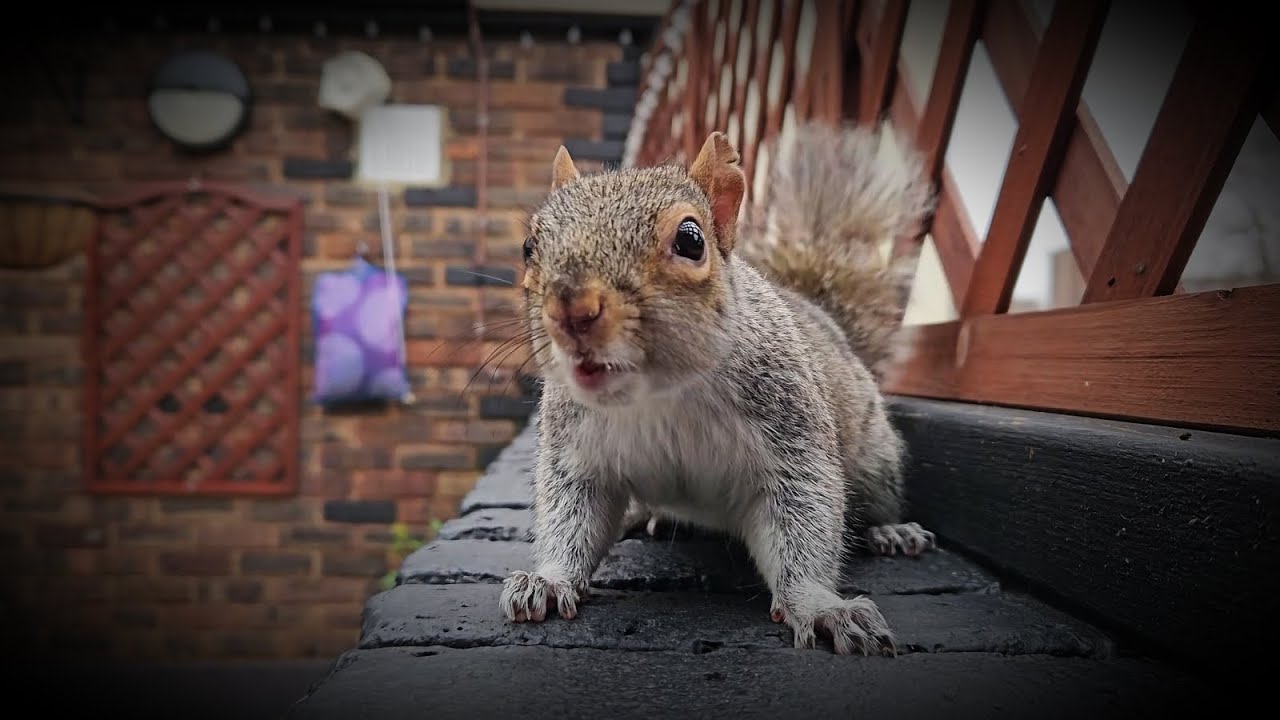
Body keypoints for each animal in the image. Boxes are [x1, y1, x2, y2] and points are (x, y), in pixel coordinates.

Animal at [499, 120, 937, 656]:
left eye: (691, 240)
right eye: (529, 247)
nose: (571, 310)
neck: (659, 396)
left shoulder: (793, 441)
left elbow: (804, 521)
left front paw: (821, 606)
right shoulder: (578, 459)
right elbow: (571, 522)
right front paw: (549, 579)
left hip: (873, 459)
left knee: (876, 497)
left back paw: (892, 529)